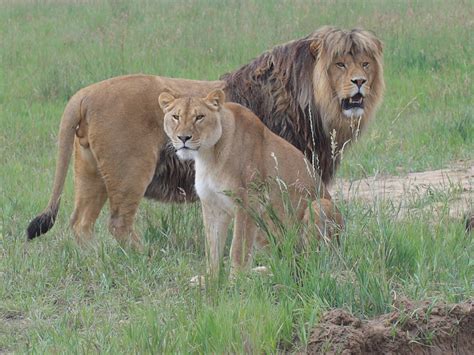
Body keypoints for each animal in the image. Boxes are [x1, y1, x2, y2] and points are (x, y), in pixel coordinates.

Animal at [26, 26, 386, 249]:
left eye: (365, 63)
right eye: (340, 64)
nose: (360, 82)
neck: (316, 105)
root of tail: (84, 94)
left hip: (91, 172)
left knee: (80, 224)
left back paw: (98, 263)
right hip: (130, 171)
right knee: (118, 224)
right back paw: (144, 259)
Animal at [160, 89, 344, 278]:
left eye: (199, 117)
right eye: (175, 117)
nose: (183, 137)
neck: (208, 155)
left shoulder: (248, 201)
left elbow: (238, 247)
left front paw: (235, 280)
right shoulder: (212, 206)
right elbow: (212, 248)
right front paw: (211, 279)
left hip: (319, 206)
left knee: (309, 262)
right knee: (287, 261)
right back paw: (259, 272)